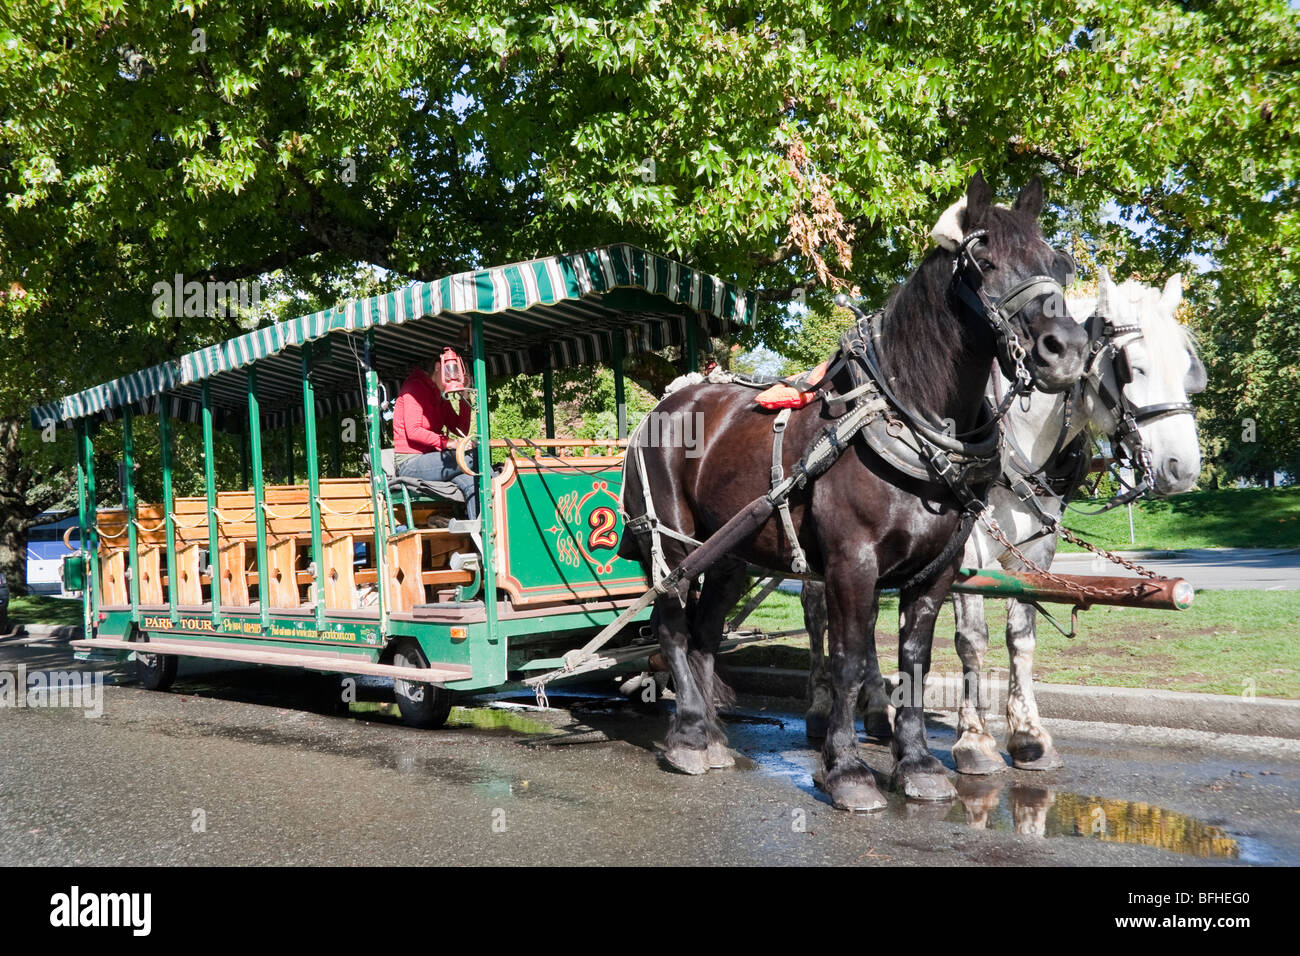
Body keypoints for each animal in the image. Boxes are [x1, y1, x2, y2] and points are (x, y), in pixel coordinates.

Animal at [618, 171, 1086, 806]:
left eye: (1059, 264)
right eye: (983, 261)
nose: (1067, 350)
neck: (905, 416)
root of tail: (666, 404)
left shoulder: (935, 569)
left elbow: (913, 659)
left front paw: (917, 764)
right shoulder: (851, 562)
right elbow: (848, 659)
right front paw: (847, 770)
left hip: (731, 554)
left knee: (705, 630)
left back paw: (712, 735)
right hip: (671, 543)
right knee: (670, 622)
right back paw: (690, 734)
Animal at [800, 269, 1206, 770]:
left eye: (1188, 369)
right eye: (1136, 367)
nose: (1182, 468)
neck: (1020, 442)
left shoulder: (1036, 549)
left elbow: (1022, 635)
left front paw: (1029, 734)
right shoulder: (966, 547)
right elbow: (972, 639)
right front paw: (974, 740)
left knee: (870, 613)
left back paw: (877, 709)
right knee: (818, 612)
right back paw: (821, 707)